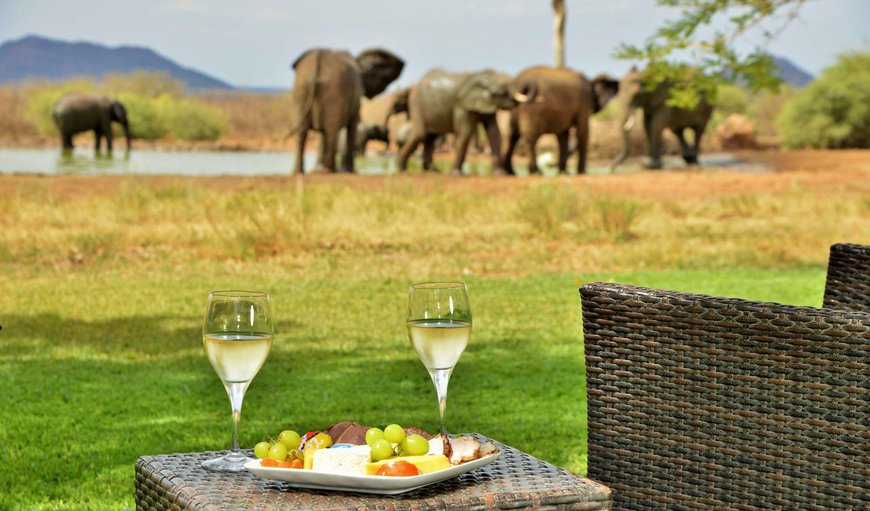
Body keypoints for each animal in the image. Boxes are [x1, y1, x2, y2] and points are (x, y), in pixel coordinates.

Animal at [290, 48, 406, 176]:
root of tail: (317, 59)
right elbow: (352, 125)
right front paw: (350, 171)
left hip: (301, 89)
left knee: (303, 132)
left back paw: (303, 172)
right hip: (333, 91)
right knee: (331, 131)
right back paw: (330, 170)